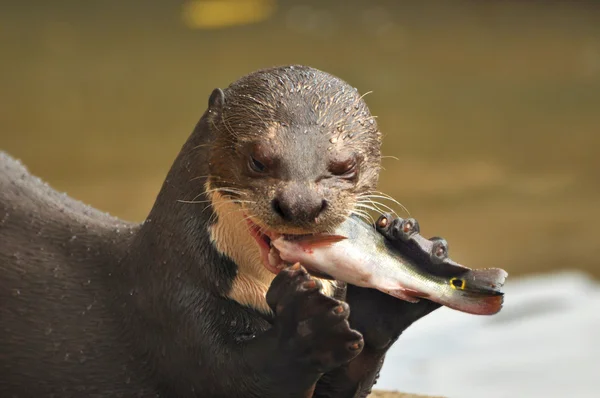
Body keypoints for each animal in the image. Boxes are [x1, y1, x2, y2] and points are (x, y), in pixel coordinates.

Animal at [0, 66, 440, 398]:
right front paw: (304, 327)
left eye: (346, 165)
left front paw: (400, 267)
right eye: (258, 159)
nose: (300, 204)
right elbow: (237, 380)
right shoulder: (173, 314)